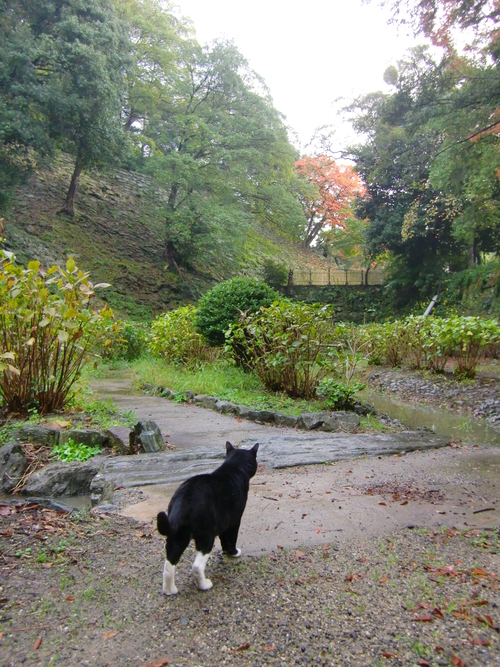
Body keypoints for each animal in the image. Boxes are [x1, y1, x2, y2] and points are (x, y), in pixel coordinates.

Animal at [157, 444, 260, 596]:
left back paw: (170, 590)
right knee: (197, 566)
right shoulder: (234, 521)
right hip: (206, 536)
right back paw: (204, 585)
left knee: (169, 562)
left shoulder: (224, 522)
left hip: (178, 535)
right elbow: (231, 539)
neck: (233, 467)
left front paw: (226, 552)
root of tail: (185, 497)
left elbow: (224, 540)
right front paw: (234, 553)